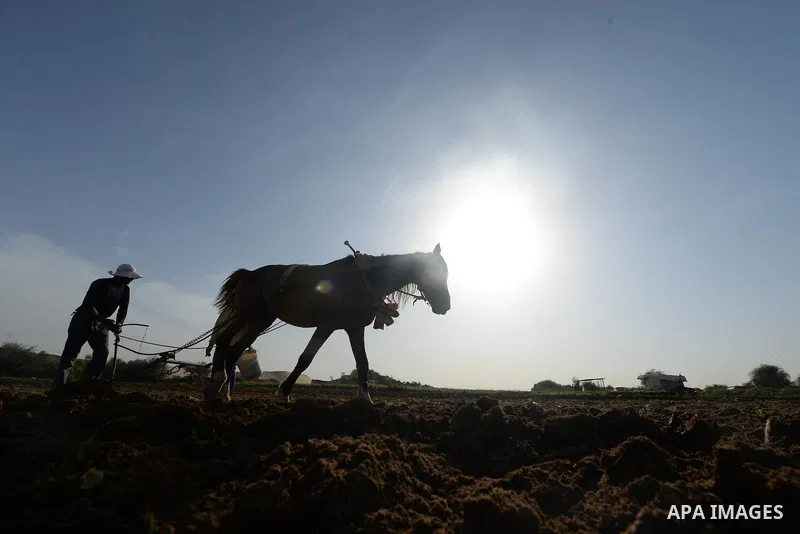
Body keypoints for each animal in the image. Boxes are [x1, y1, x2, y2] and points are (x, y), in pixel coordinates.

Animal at [203, 243, 450, 403]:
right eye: (432, 273)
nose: (445, 306)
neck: (362, 281)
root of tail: (248, 274)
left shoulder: (354, 328)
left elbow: (363, 362)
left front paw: (365, 398)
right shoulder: (327, 325)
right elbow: (306, 358)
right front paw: (284, 392)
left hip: (261, 319)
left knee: (235, 349)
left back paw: (224, 392)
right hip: (246, 314)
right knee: (224, 341)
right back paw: (215, 384)